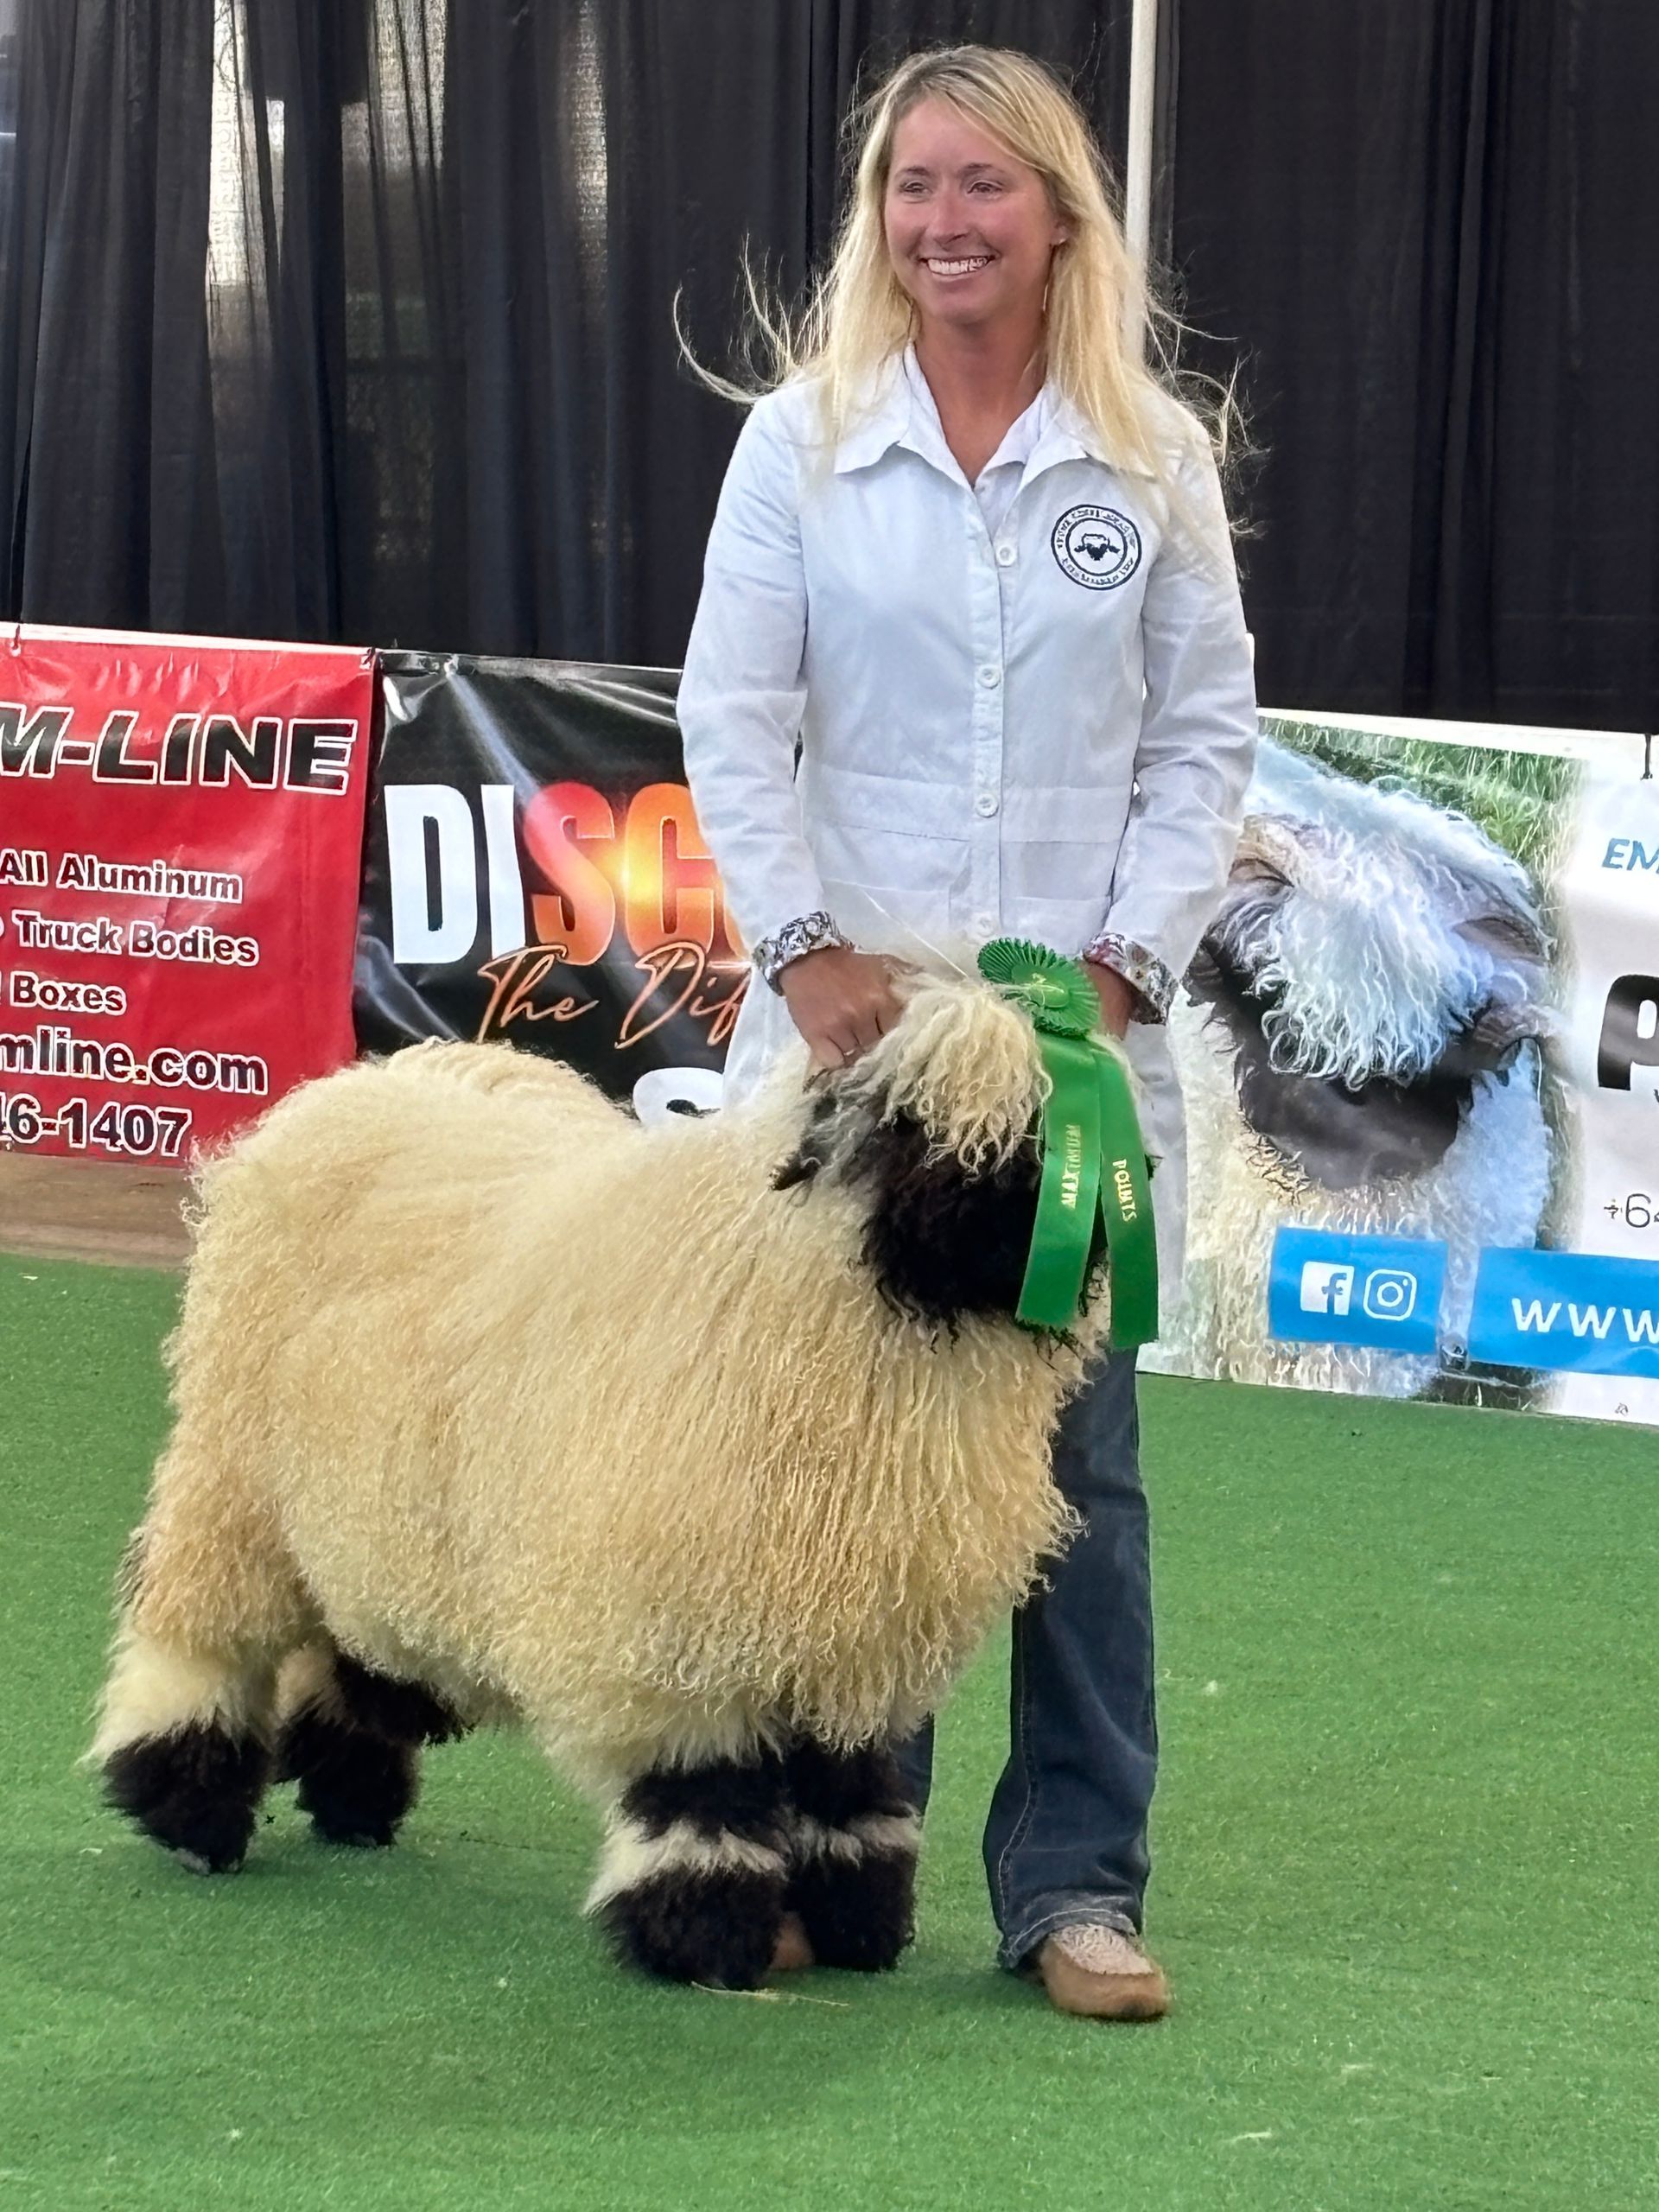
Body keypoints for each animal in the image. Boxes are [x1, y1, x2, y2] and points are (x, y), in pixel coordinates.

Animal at [90, 963, 1118, 1989]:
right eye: (912, 1119)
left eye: (1052, 1125)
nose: (1040, 1229)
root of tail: (374, 1081)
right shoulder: (678, 1621)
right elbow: (701, 1794)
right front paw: (704, 1933)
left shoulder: (851, 1633)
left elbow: (847, 1786)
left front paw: (857, 1919)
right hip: (236, 1475)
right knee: (203, 1637)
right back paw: (188, 1807)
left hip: (371, 1499)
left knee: (354, 1642)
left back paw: (353, 1798)